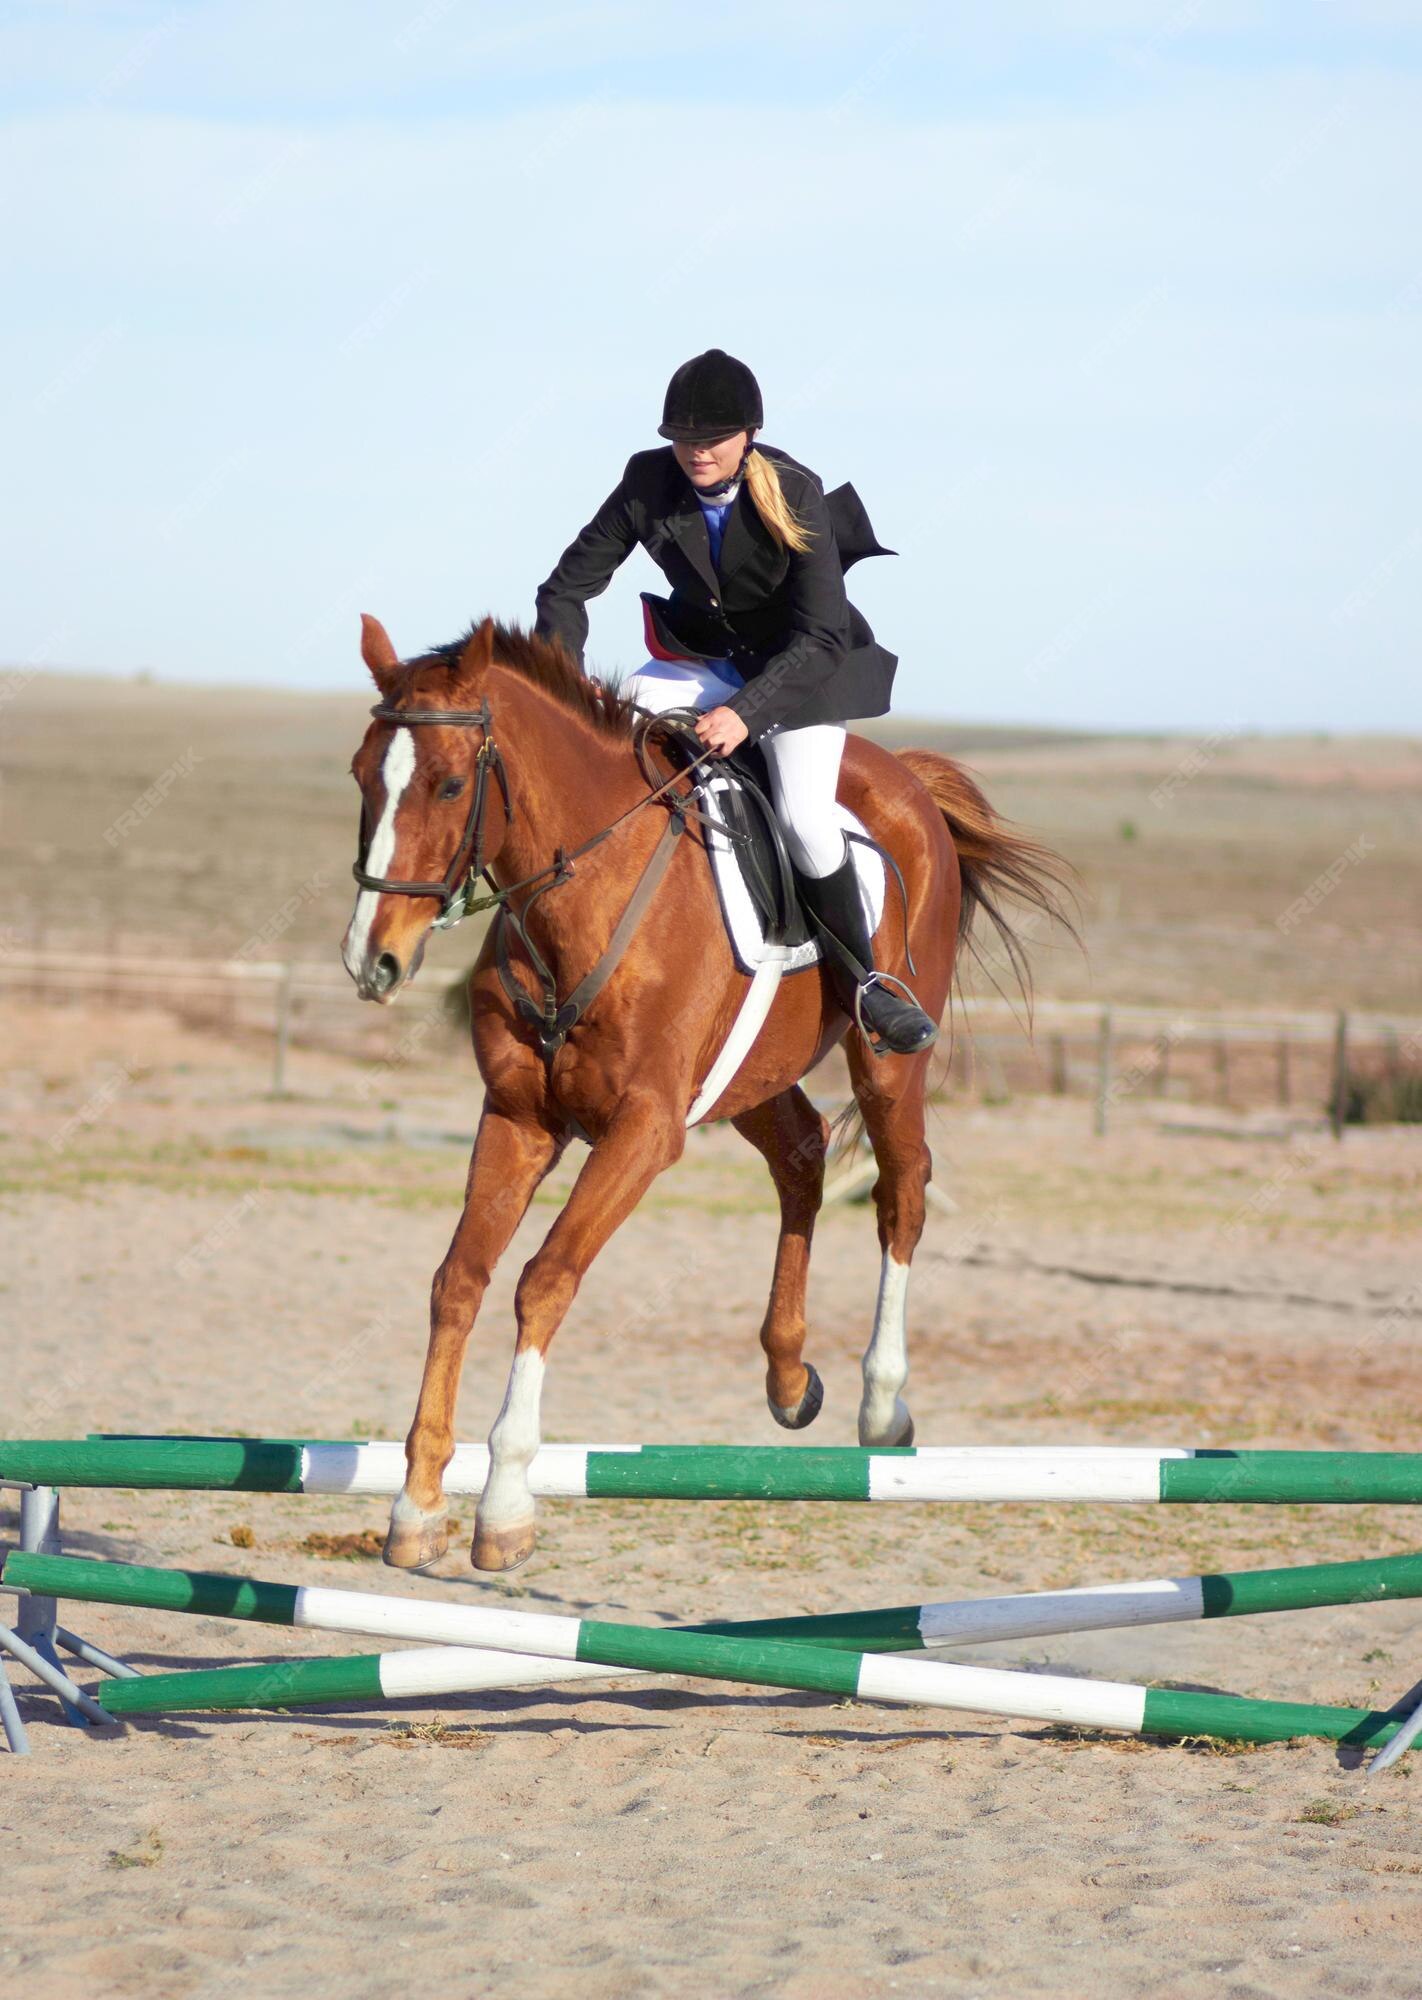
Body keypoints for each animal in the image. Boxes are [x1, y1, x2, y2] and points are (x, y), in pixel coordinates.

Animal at [340, 612, 1072, 1576]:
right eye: (360, 776)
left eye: (451, 783)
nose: (372, 961)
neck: (586, 897)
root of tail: (908, 776)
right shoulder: (519, 1118)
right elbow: (458, 1279)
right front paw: (418, 1503)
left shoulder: (644, 1131)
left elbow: (544, 1279)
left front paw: (503, 1502)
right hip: (752, 1076)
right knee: (801, 1157)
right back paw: (789, 1376)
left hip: (886, 1062)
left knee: (901, 1191)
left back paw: (882, 1404)